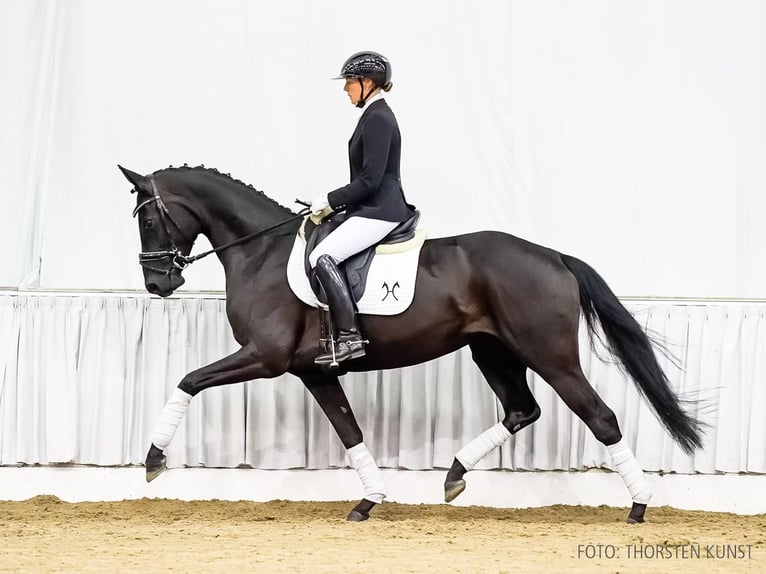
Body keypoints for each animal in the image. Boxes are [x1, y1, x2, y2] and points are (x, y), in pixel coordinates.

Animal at [118, 166, 704, 528]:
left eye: (146, 218)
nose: (157, 284)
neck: (261, 252)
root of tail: (553, 255)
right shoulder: (314, 371)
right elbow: (350, 432)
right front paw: (368, 501)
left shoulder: (266, 358)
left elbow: (188, 380)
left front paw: (152, 459)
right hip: (491, 351)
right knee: (522, 409)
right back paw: (454, 475)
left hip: (551, 357)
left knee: (600, 417)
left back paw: (638, 507)